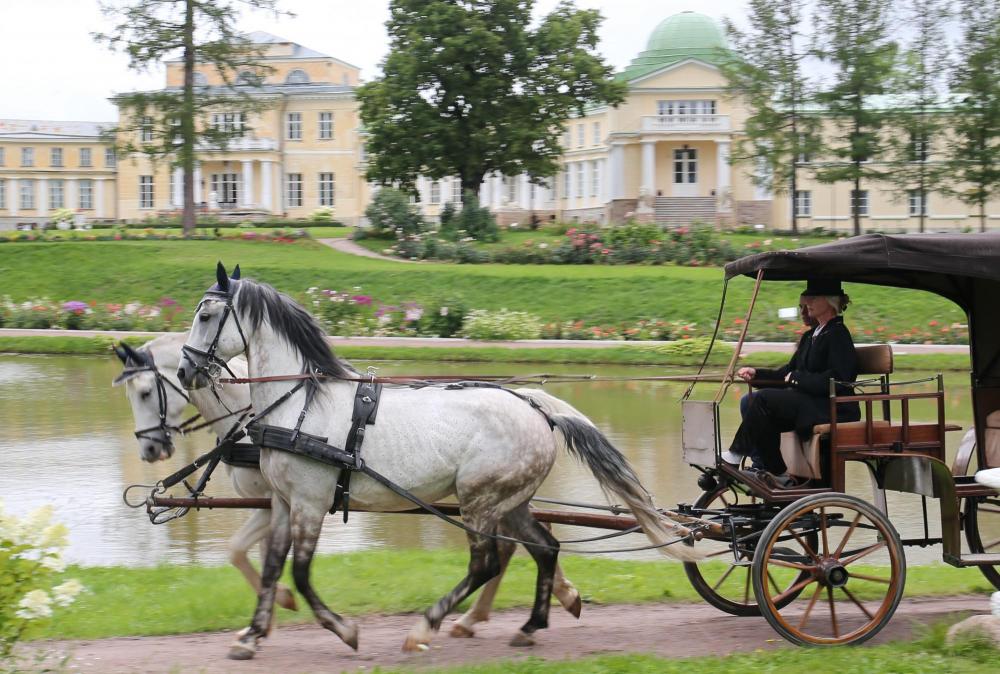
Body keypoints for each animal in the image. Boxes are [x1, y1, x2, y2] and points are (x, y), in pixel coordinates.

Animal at [177, 263, 699, 660]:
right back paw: (530, 625)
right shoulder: (285, 504)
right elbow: (271, 569)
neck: (302, 403)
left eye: (206, 314)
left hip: (478, 500)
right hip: (510, 502)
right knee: (544, 548)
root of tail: (535, 406)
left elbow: (301, 576)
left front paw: (345, 630)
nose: (185, 370)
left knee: (485, 563)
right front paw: (251, 635)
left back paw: (426, 627)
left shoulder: (310, 502)